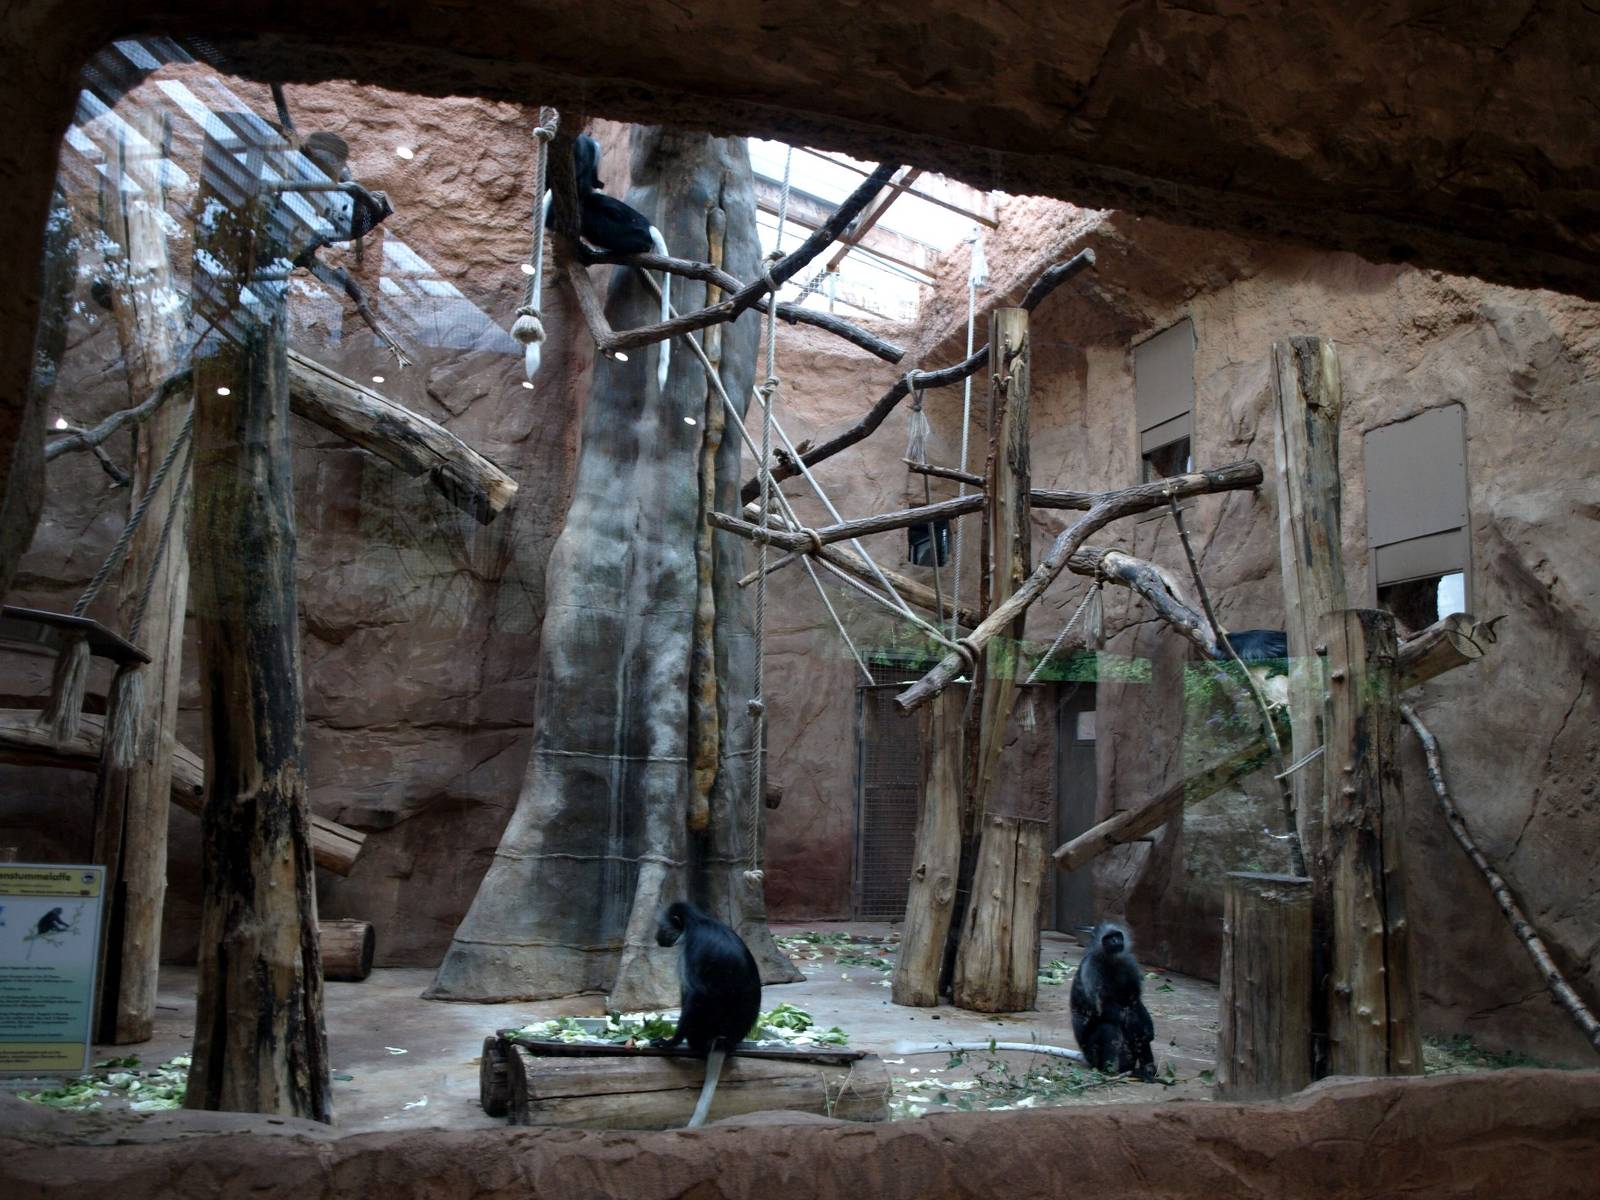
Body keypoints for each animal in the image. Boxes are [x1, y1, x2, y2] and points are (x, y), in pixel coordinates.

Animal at [653, 901, 762, 1128]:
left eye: (661, 927)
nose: (656, 936)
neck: (698, 922)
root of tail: (723, 1039)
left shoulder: (692, 947)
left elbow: (698, 994)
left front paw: (670, 1041)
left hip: (703, 1030)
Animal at [1070, 920, 1156, 1082]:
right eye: (1109, 938)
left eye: (1117, 936)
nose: (1116, 941)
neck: (1110, 961)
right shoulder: (1091, 969)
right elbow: (1100, 1008)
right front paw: (1136, 1025)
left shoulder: (1128, 964)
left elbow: (1134, 1002)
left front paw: (1146, 1027)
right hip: (1092, 1054)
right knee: (1109, 1027)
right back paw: (1111, 1071)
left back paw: (1146, 1069)